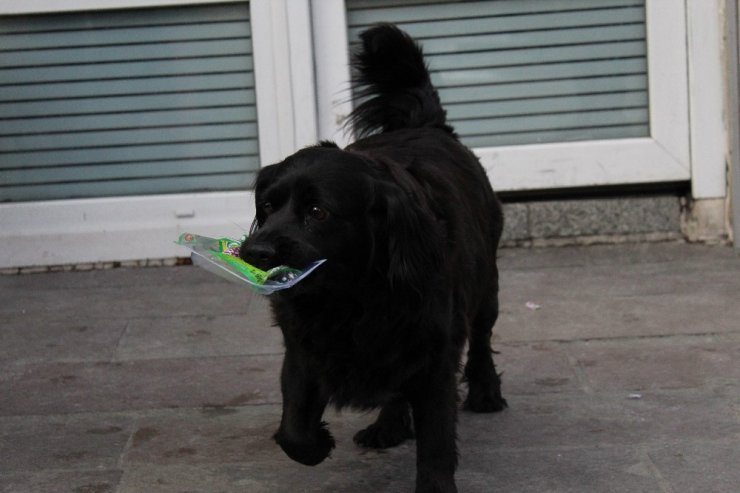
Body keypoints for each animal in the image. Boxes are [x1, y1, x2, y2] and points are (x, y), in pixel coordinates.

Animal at [246, 24, 506, 492]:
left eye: (318, 212)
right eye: (268, 207)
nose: (256, 251)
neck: (350, 298)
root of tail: (428, 125)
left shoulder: (434, 354)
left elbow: (437, 442)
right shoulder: (302, 351)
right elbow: (293, 430)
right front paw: (317, 444)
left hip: (485, 286)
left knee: (481, 339)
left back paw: (485, 392)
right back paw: (389, 426)